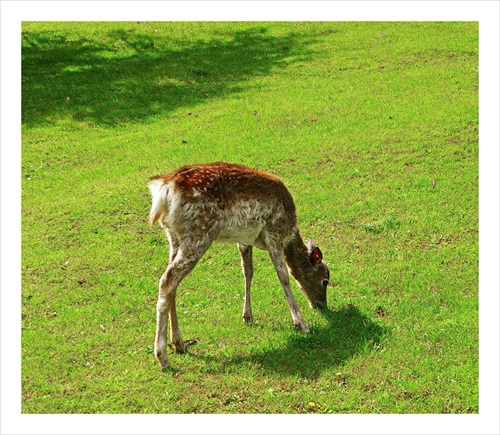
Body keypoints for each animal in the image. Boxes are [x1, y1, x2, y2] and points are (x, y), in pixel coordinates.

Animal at [146, 162, 330, 370]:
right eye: (325, 280)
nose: (322, 305)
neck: (289, 234)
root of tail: (165, 189)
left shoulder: (244, 241)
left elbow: (248, 271)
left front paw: (247, 316)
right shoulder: (274, 233)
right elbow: (284, 277)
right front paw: (301, 324)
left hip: (174, 237)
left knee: (173, 284)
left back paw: (179, 344)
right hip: (199, 234)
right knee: (167, 280)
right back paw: (162, 356)